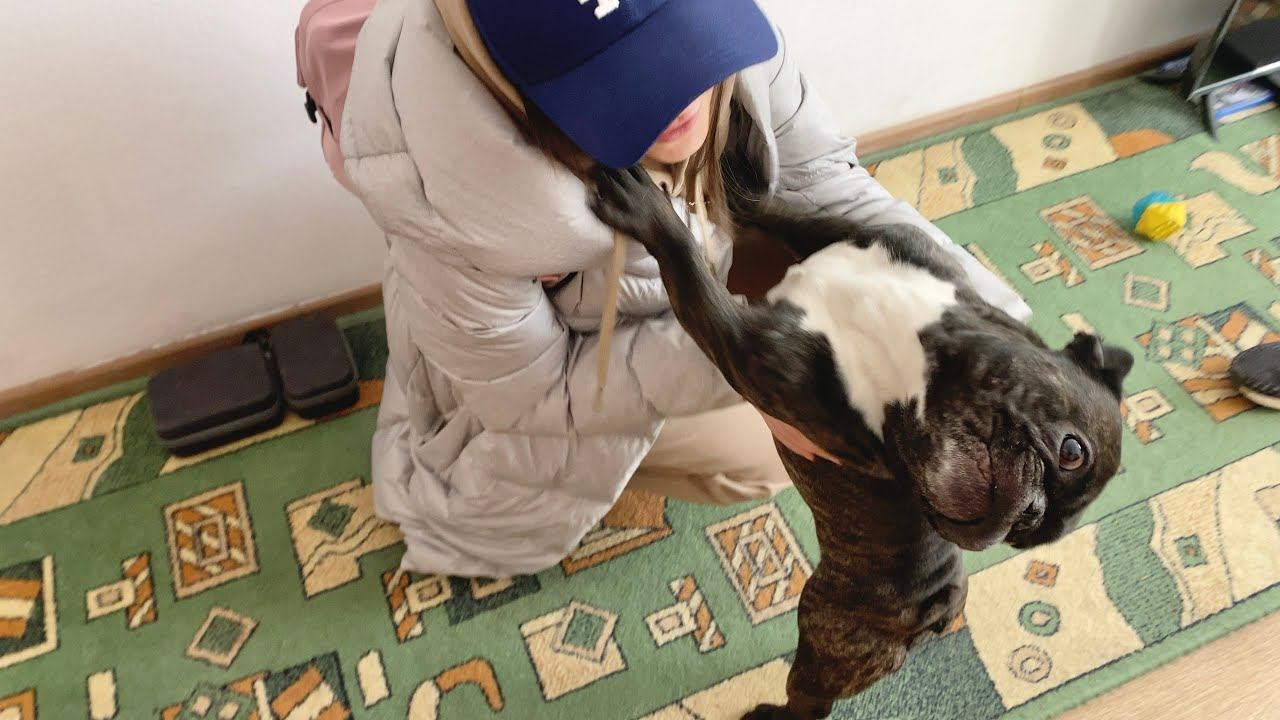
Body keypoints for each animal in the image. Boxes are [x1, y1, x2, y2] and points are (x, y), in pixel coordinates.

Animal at [590, 151, 1132, 719]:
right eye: (1072, 451)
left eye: (1024, 535)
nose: (1029, 508)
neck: (920, 350)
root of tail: (936, 610)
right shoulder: (858, 238)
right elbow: (776, 209)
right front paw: (740, 165)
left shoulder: (744, 347)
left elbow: (690, 273)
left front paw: (652, 214)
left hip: (824, 636)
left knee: (810, 701)